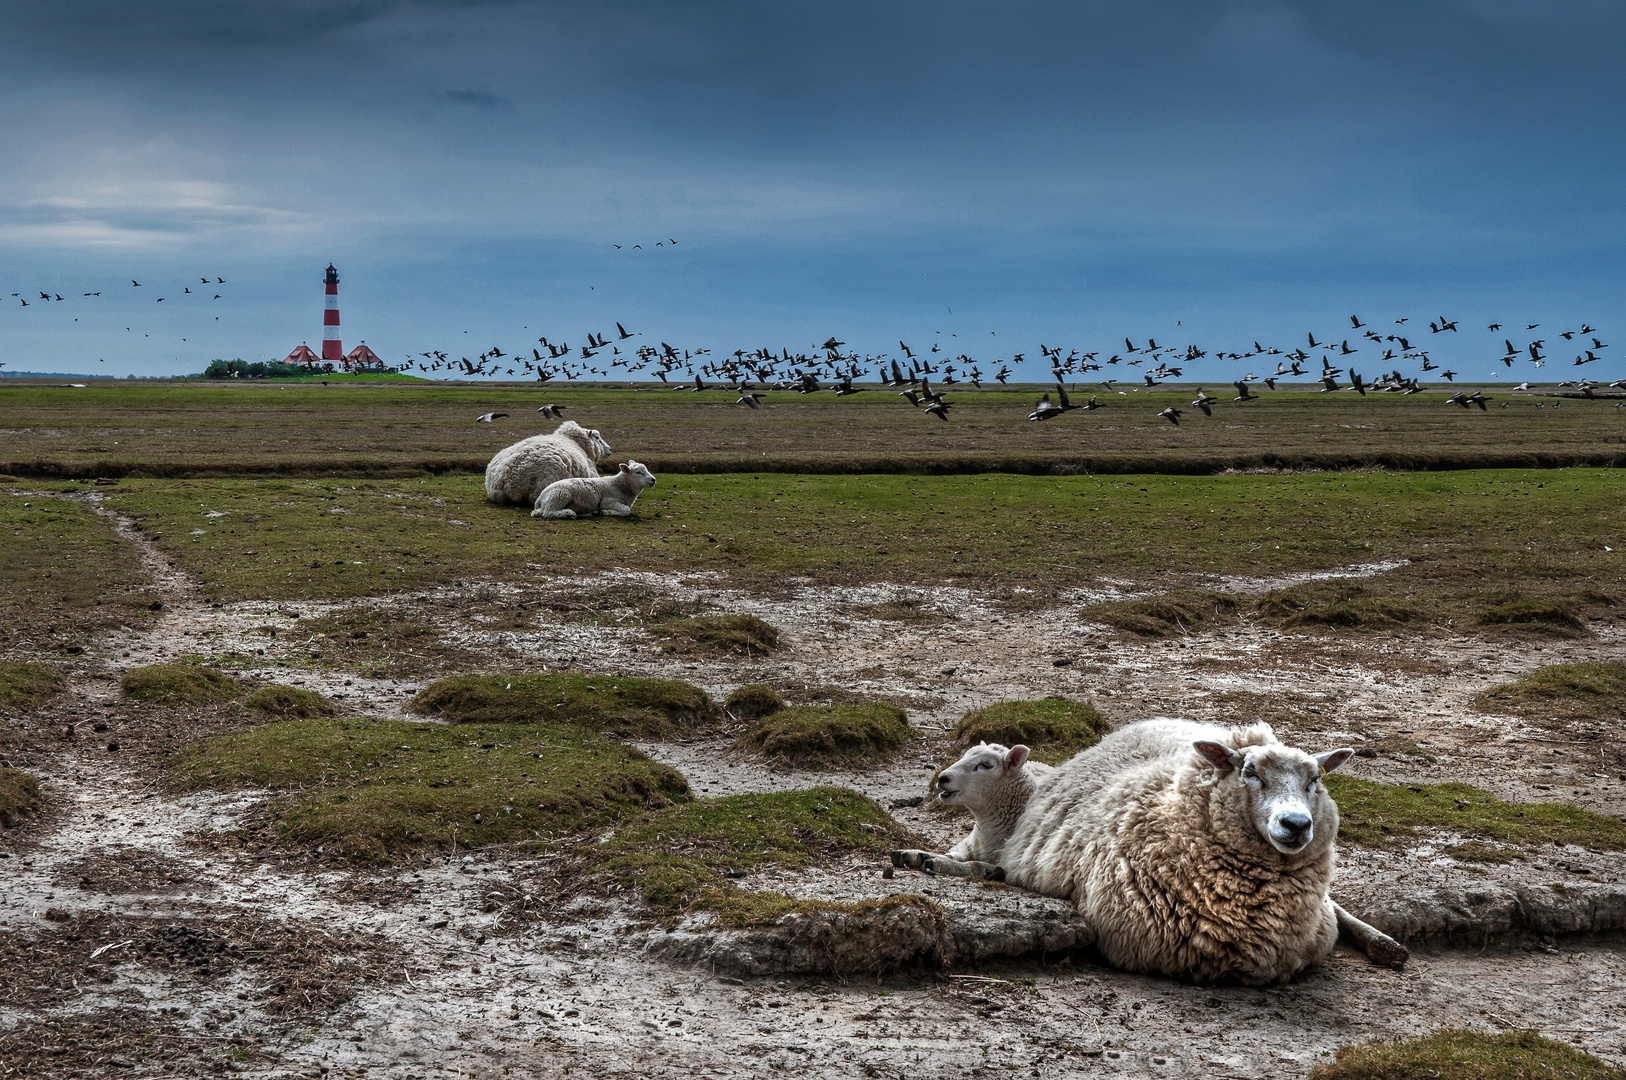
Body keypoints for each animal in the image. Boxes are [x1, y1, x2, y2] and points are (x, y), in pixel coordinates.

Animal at [891, 748, 1053, 884]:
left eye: (986, 765)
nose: (942, 778)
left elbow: (976, 866)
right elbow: (953, 854)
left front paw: (939, 863)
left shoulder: (1008, 862)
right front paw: (916, 854)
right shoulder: (967, 845)